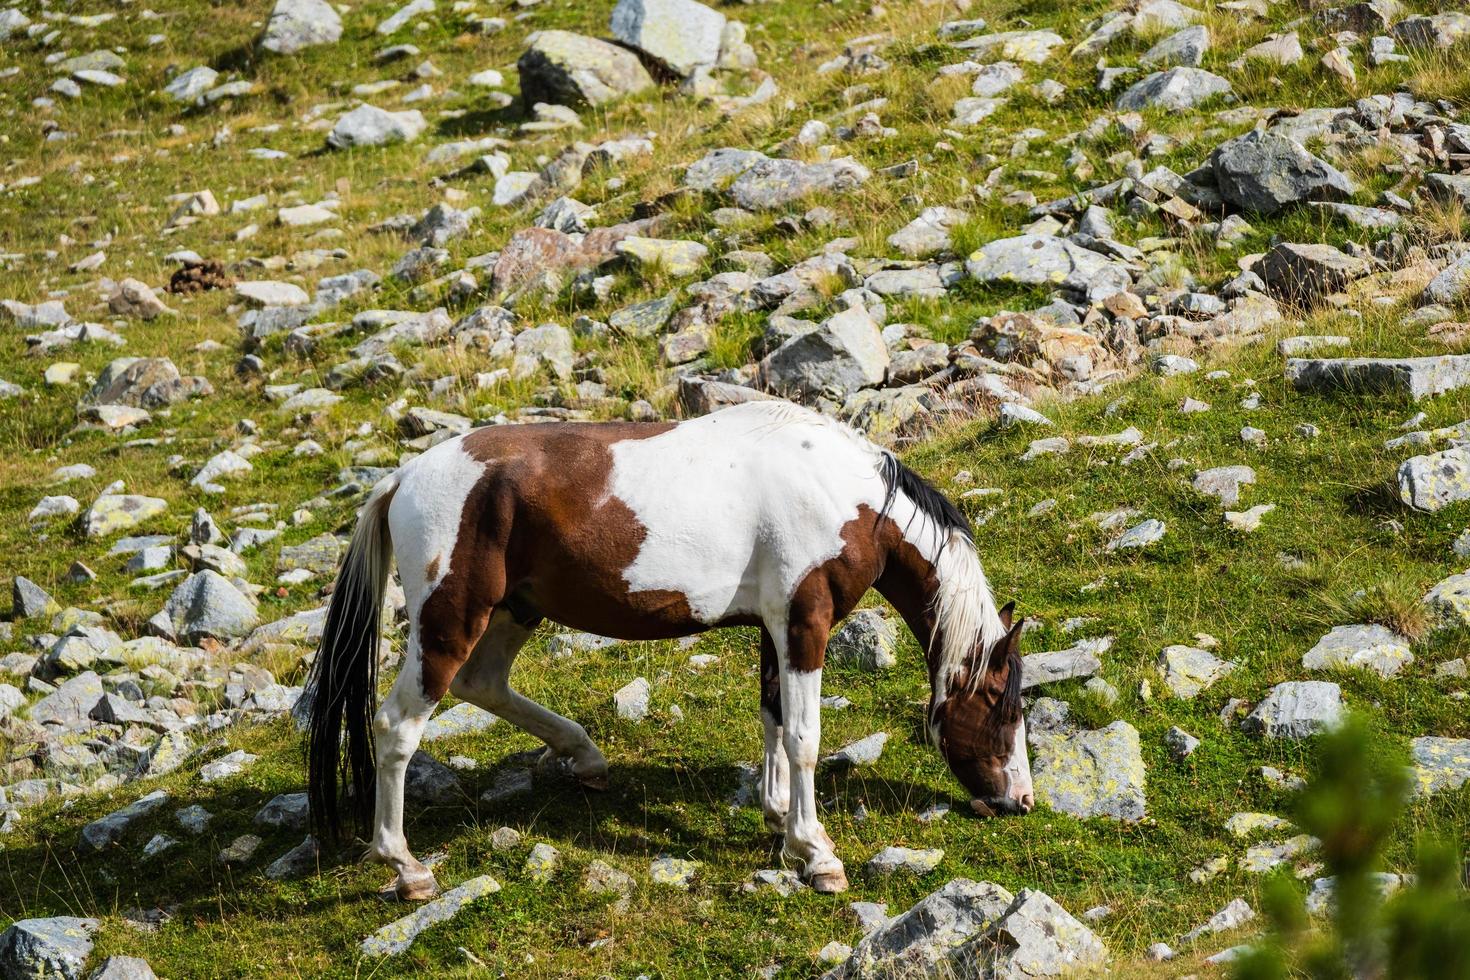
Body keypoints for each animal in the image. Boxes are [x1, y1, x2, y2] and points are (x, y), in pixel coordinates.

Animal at [304, 399, 1029, 905]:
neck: (843, 494)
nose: (1019, 799)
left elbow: (771, 719)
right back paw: (405, 867)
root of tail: (402, 479)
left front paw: (778, 821)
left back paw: (586, 757)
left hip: (513, 611)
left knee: (483, 684)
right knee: (397, 727)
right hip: (451, 621)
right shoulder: (805, 622)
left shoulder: (774, 626)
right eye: (1001, 701)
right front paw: (818, 853)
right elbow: (803, 737)